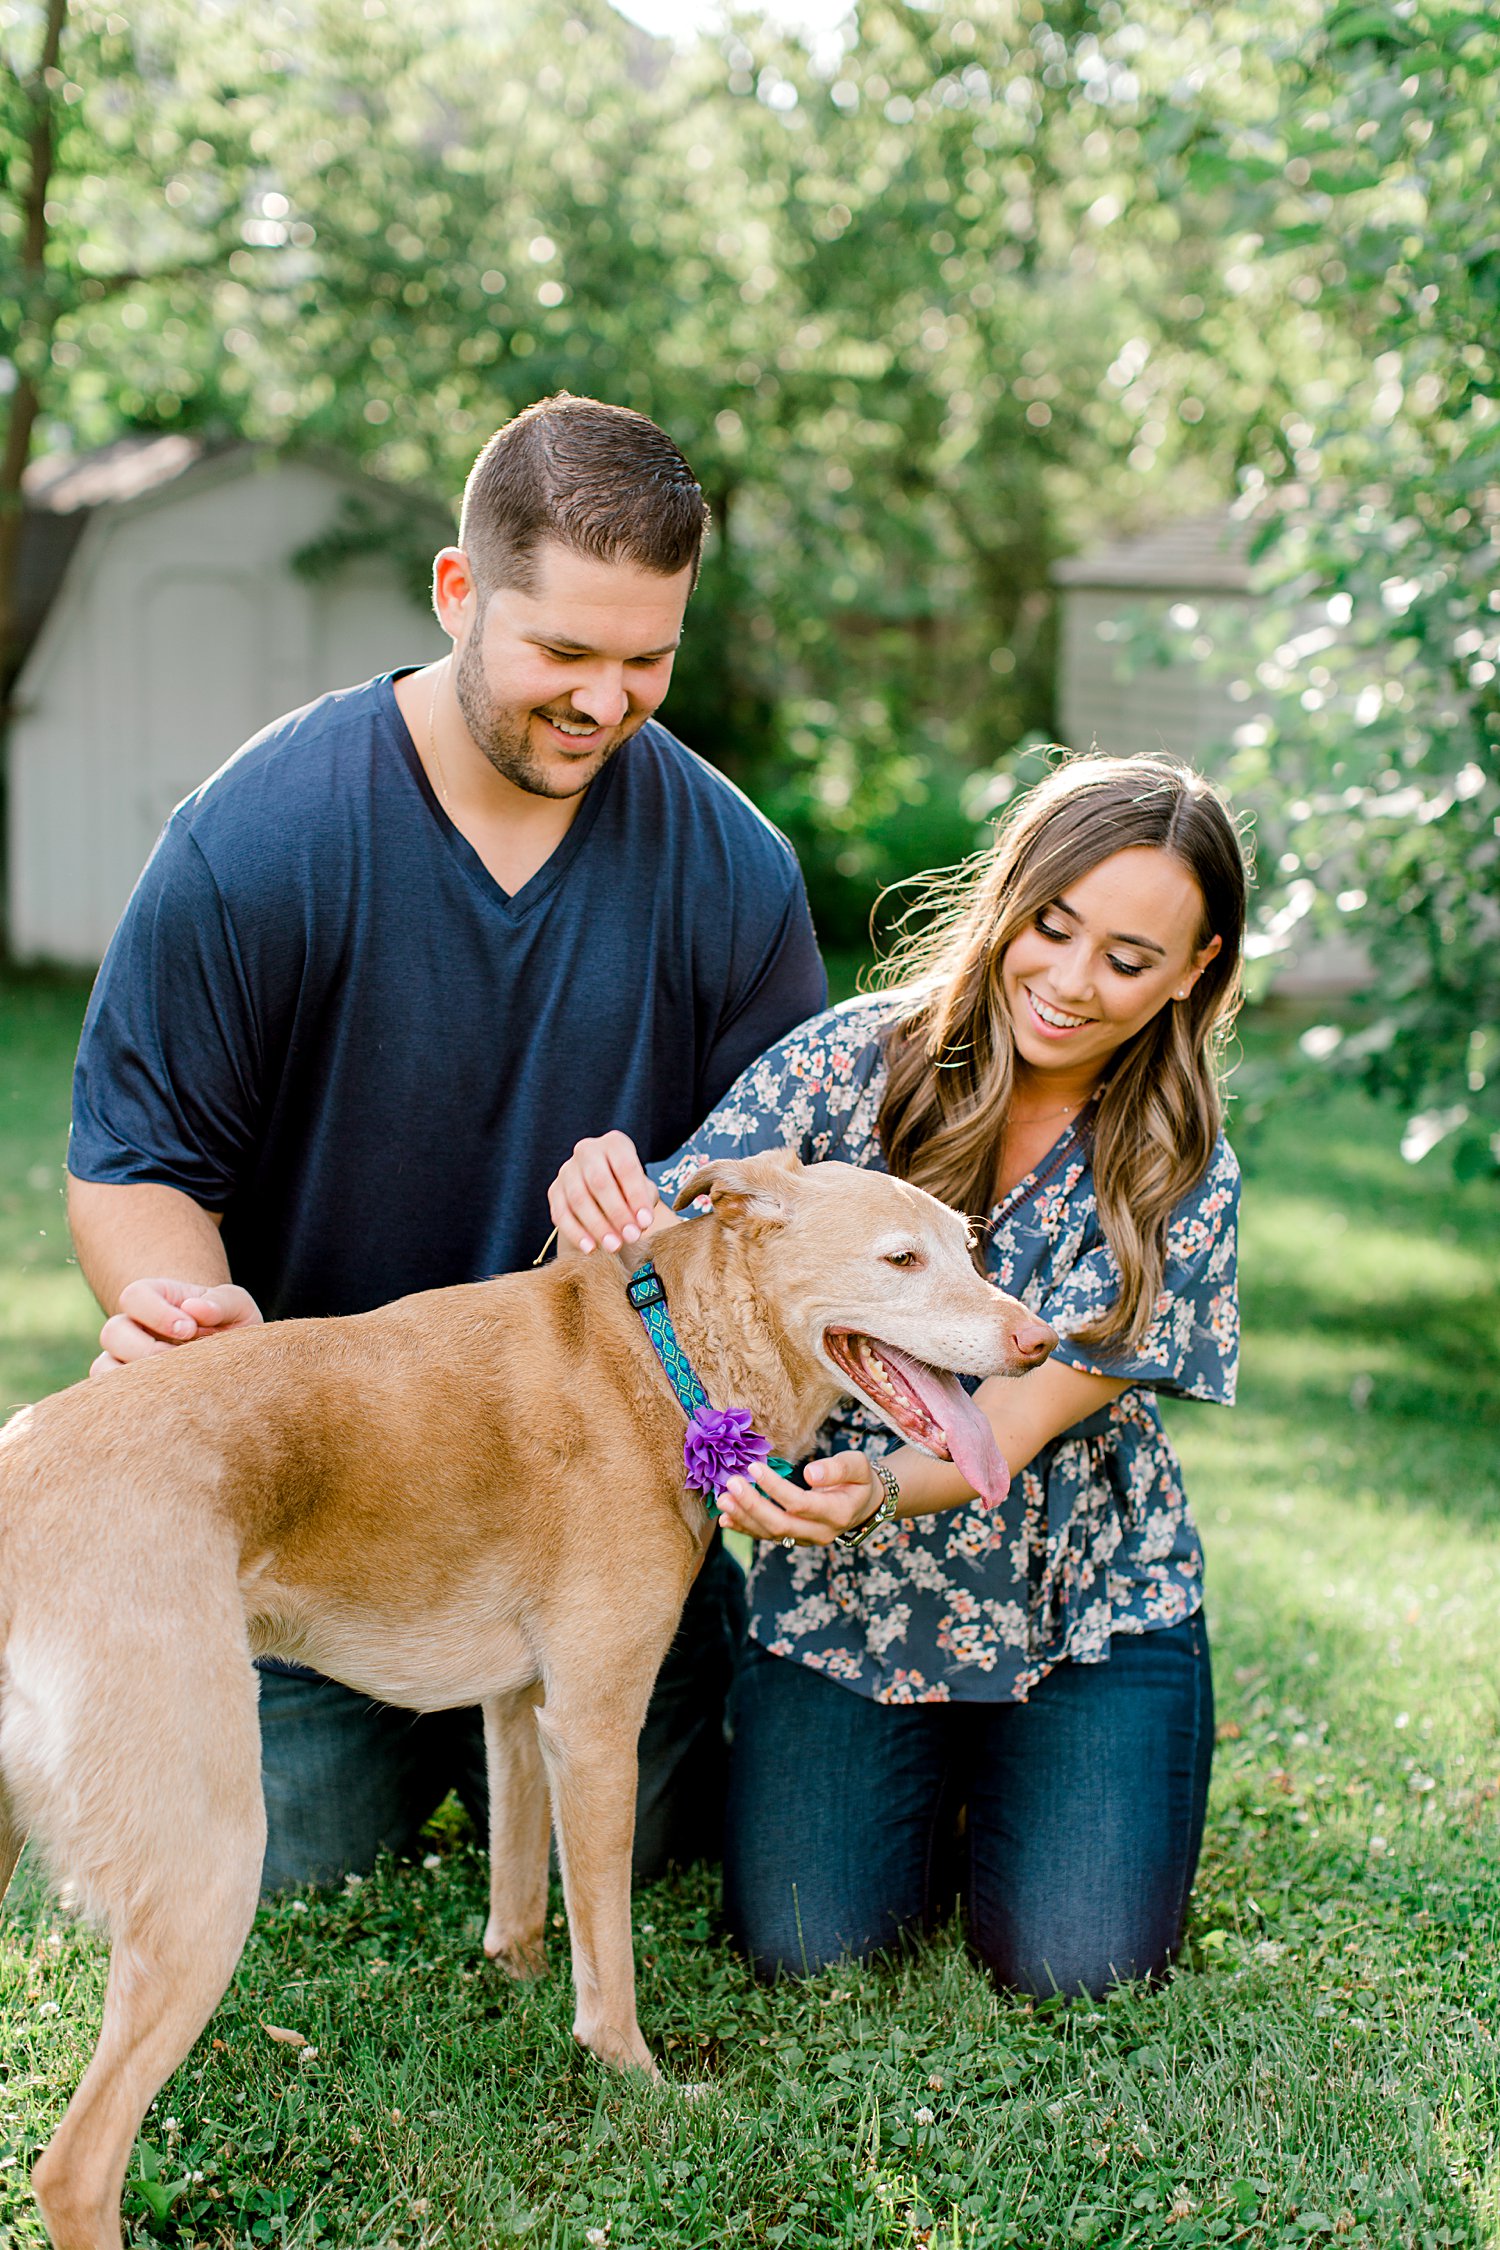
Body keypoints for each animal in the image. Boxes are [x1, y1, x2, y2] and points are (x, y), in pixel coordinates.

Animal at [0, 1161, 1056, 2250]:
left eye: (972, 1249)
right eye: (903, 1259)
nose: (1043, 1341)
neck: (664, 1352)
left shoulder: (519, 1707)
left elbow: (518, 1897)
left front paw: (516, 1982)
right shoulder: (593, 1730)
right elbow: (610, 1963)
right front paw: (635, 2078)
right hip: (209, 1868)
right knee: (74, 2170)